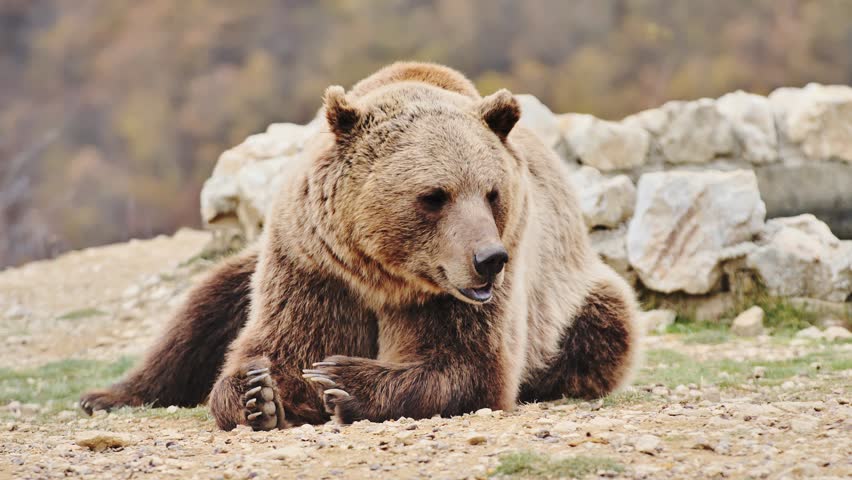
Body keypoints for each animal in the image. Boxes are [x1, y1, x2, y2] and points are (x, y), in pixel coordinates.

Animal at [80, 62, 641, 431]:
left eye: (492, 192)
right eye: (434, 195)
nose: (488, 260)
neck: (383, 274)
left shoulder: (469, 287)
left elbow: (469, 364)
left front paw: (343, 381)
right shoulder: (312, 264)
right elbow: (278, 344)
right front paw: (258, 393)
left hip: (571, 294)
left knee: (602, 328)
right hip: (247, 268)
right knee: (201, 310)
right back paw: (107, 395)